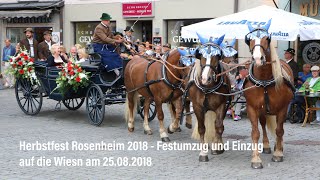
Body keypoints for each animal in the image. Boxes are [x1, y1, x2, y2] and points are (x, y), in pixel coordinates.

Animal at [244, 20, 294, 169]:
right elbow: (255, 132)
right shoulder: (252, 108)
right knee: (263, 124)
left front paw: (278, 153)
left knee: (279, 128)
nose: (257, 58)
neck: (264, 80)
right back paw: (266, 146)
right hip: (262, 111)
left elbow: (279, 130)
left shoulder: (283, 108)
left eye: (267, 38)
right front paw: (255, 159)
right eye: (249, 39)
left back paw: (279, 146)